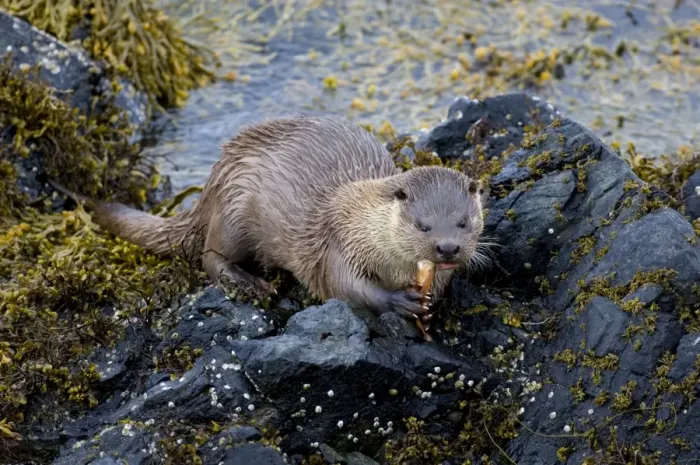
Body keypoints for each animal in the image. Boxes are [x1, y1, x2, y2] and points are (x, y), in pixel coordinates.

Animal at [50, 115, 485, 321]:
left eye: (463, 222)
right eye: (421, 224)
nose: (447, 248)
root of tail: (217, 173)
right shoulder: (339, 244)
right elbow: (347, 288)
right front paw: (399, 301)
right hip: (235, 209)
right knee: (210, 255)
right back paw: (250, 284)